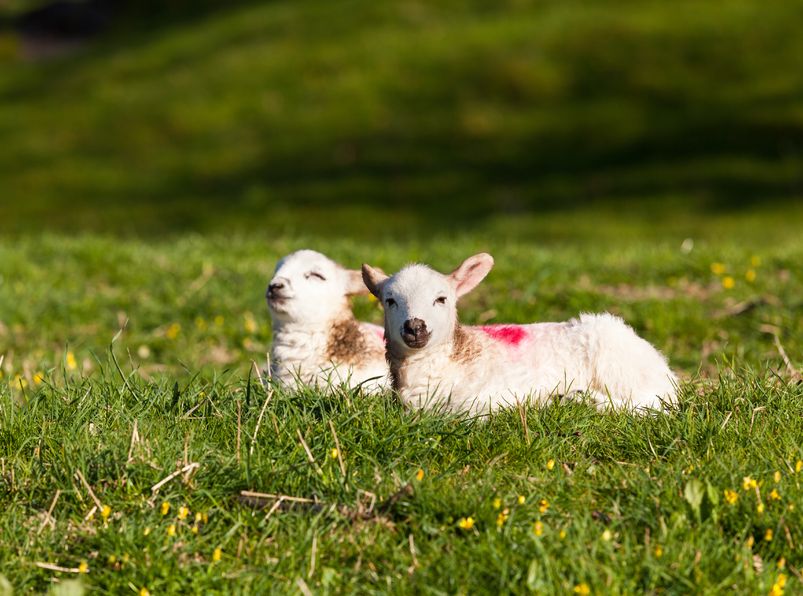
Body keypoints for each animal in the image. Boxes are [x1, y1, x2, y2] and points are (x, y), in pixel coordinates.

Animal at [364, 253, 680, 414]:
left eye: (441, 299)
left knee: (652, 403)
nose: (415, 327)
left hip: (620, 365)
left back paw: (583, 399)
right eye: (389, 300)